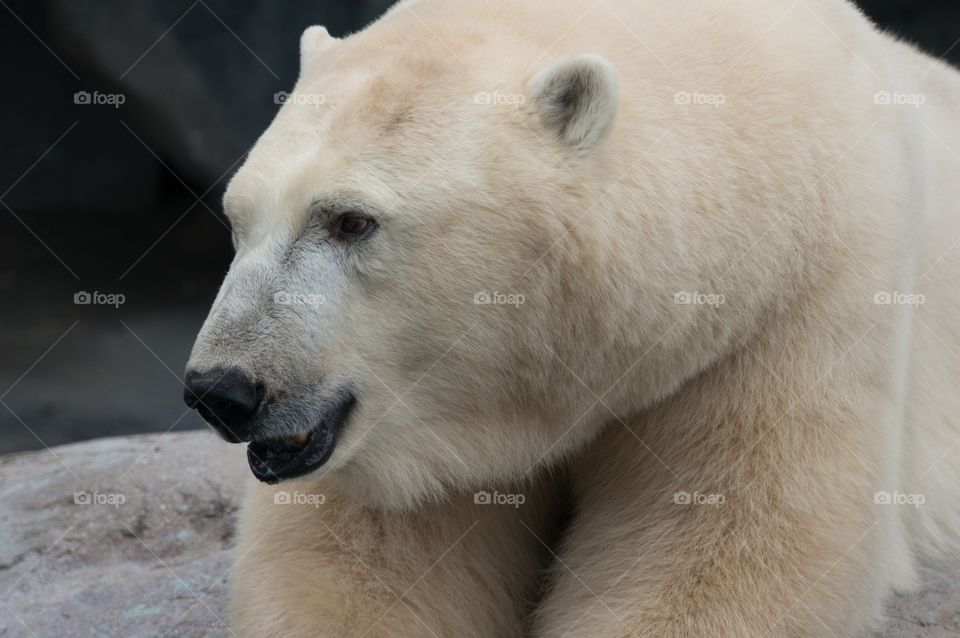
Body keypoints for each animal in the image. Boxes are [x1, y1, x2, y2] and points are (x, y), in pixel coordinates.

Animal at [183, 0, 960, 635]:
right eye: (236, 218)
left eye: (351, 221)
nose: (223, 390)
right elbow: (355, 561)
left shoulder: (787, 302)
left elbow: (726, 550)